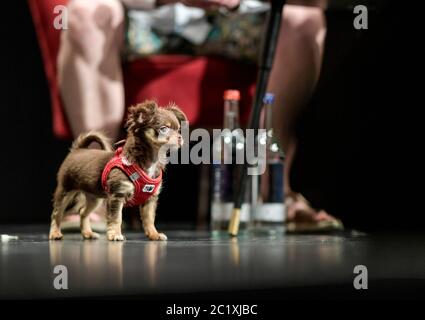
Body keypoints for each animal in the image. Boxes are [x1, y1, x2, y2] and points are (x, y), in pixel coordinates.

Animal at [48, 101, 186, 241]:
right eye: (164, 129)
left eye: (178, 130)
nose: (180, 137)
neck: (150, 161)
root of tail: (78, 149)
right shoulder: (117, 195)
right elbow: (116, 218)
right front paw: (115, 234)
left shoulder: (150, 199)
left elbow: (149, 220)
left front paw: (154, 234)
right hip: (65, 190)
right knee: (57, 213)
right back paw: (55, 233)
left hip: (94, 198)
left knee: (82, 212)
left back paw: (88, 233)